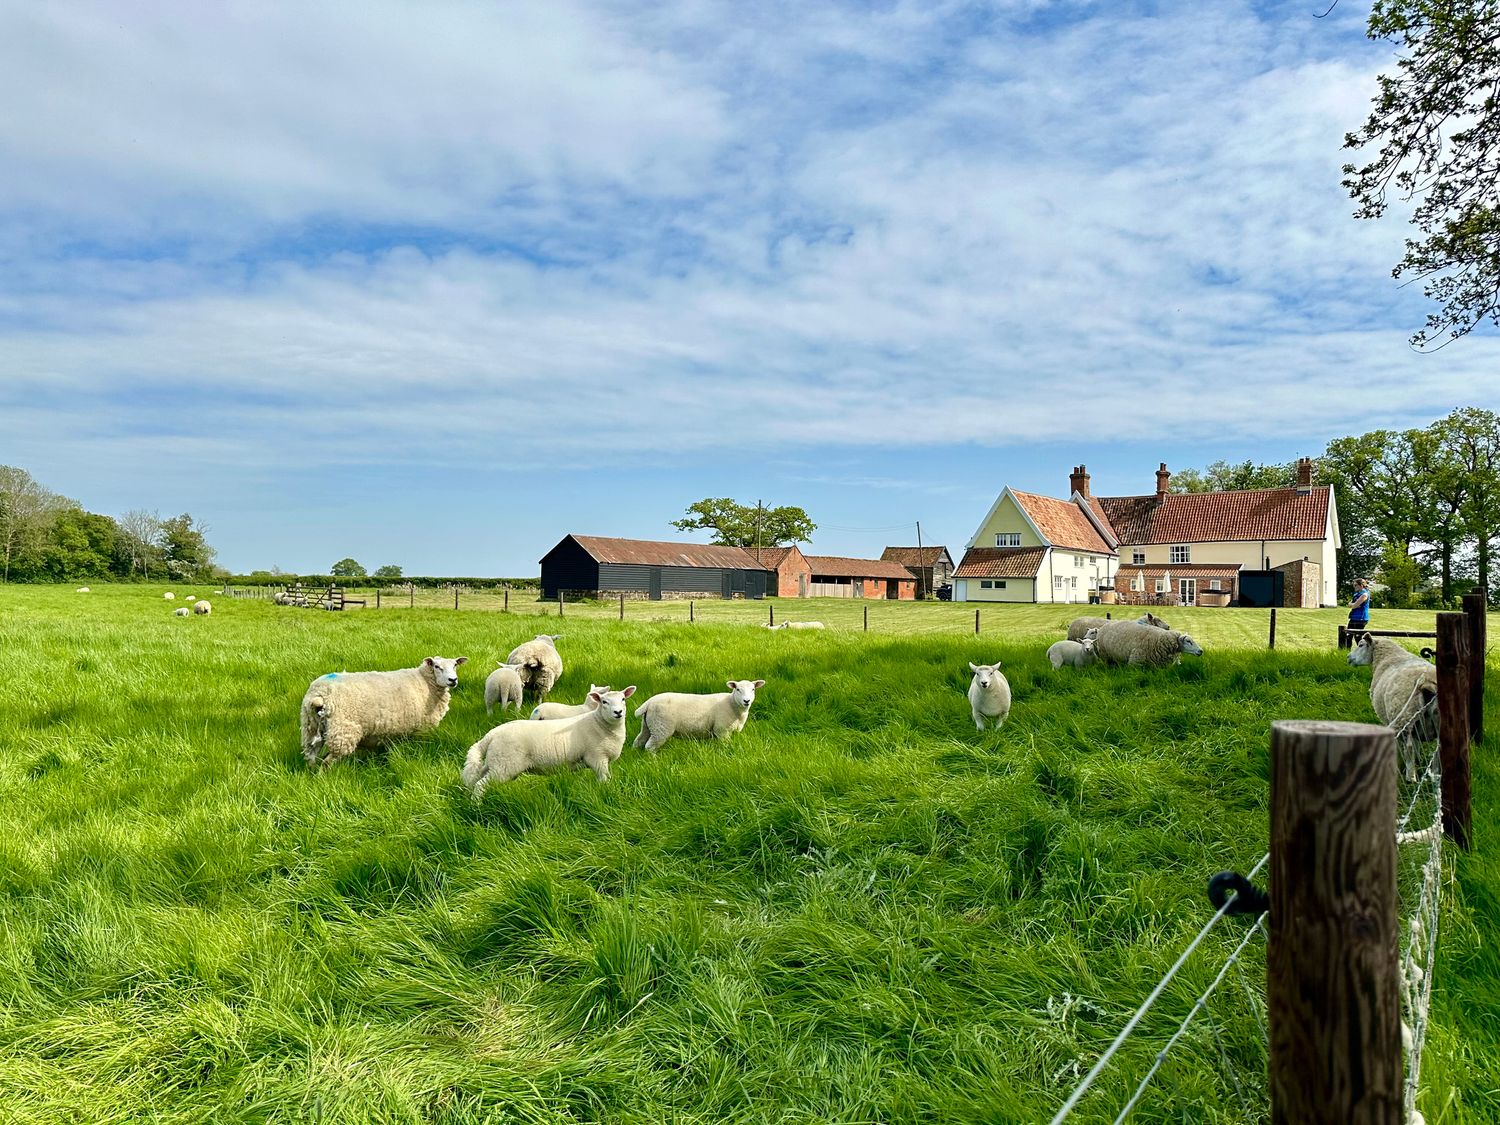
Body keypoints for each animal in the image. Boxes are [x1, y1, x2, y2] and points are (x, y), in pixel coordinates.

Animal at [300, 657, 468, 774]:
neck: (426, 682)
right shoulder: (422, 730)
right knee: (327, 762)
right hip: (342, 732)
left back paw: (311, 775)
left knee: (310, 756)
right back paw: (323, 779)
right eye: (437, 666)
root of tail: (320, 694)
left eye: (455, 665)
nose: (453, 680)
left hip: (310, 728)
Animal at [462, 684, 639, 798]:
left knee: (477, 779)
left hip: (495, 763)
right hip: (504, 765)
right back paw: (476, 807)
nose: (618, 712)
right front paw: (606, 793)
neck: (600, 724)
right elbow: (605, 780)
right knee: (480, 785)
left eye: (623, 699)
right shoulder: (597, 758)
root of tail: (490, 735)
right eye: (604, 702)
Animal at [630, 684, 768, 753]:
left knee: (639, 741)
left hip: (649, 725)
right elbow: (726, 747)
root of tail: (649, 703)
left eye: (753, 689)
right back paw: (654, 761)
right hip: (661, 727)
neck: (732, 704)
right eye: (738, 689)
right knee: (650, 746)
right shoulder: (722, 731)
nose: (746, 701)